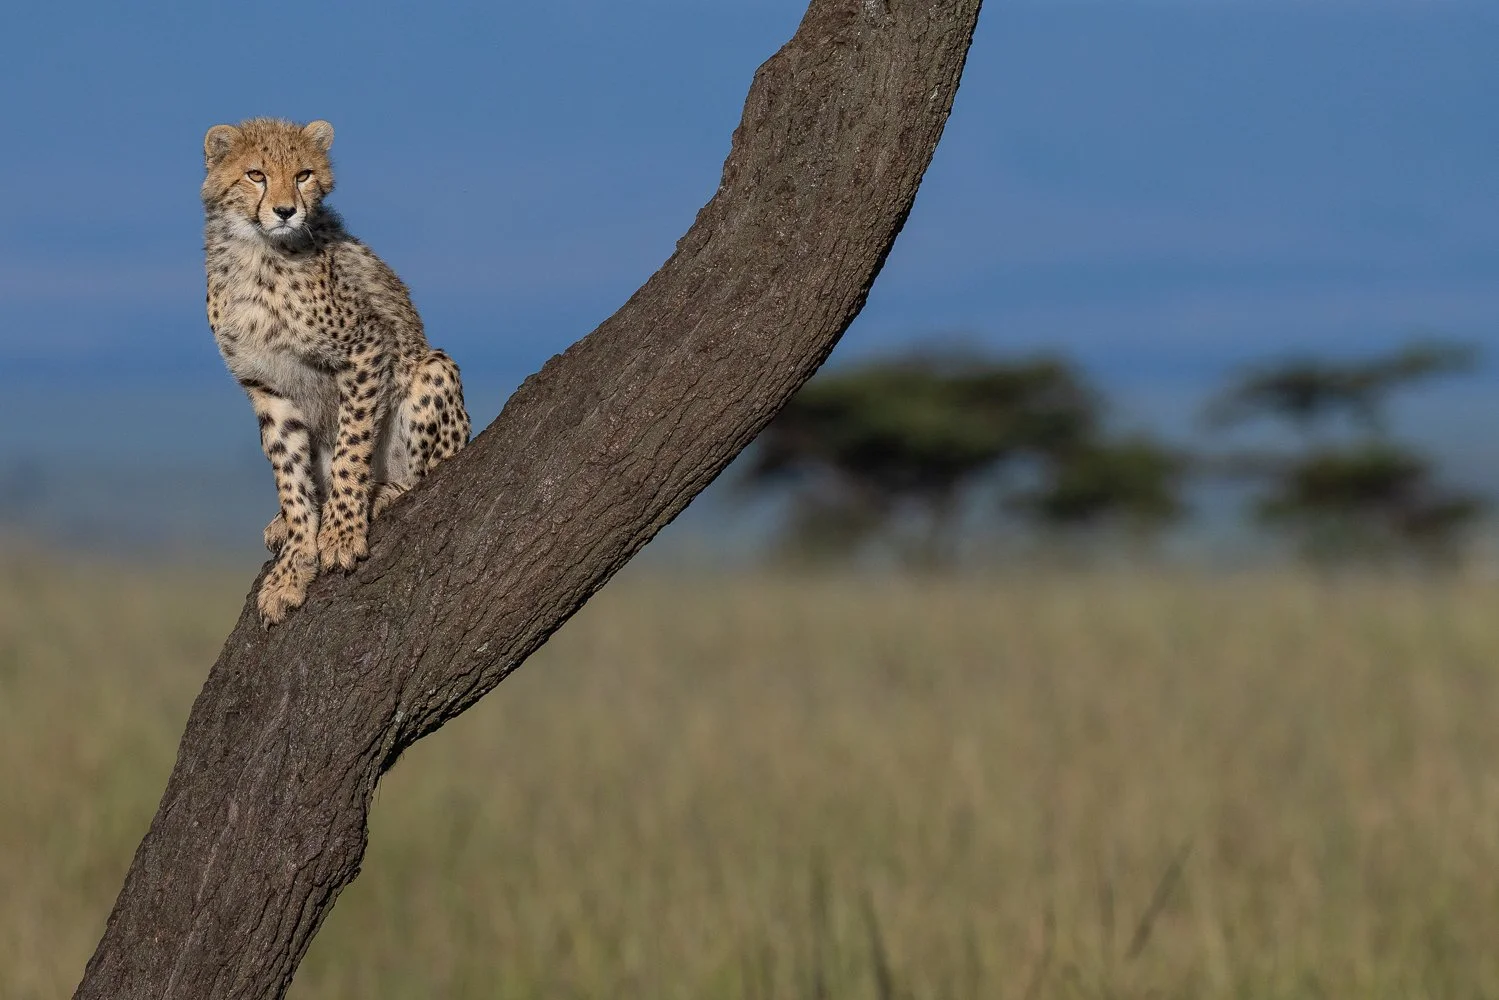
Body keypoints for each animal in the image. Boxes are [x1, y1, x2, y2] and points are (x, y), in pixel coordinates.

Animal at [202, 117, 470, 625]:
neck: (258, 254)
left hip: (434, 370)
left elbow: (351, 447)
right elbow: (289, 477)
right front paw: (292, 564)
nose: (286, 211)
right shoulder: (266, 388)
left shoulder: (365, 349)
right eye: (256, 175)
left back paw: (383, 493)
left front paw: (342, 533)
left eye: (304, 174)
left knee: (426, 473)